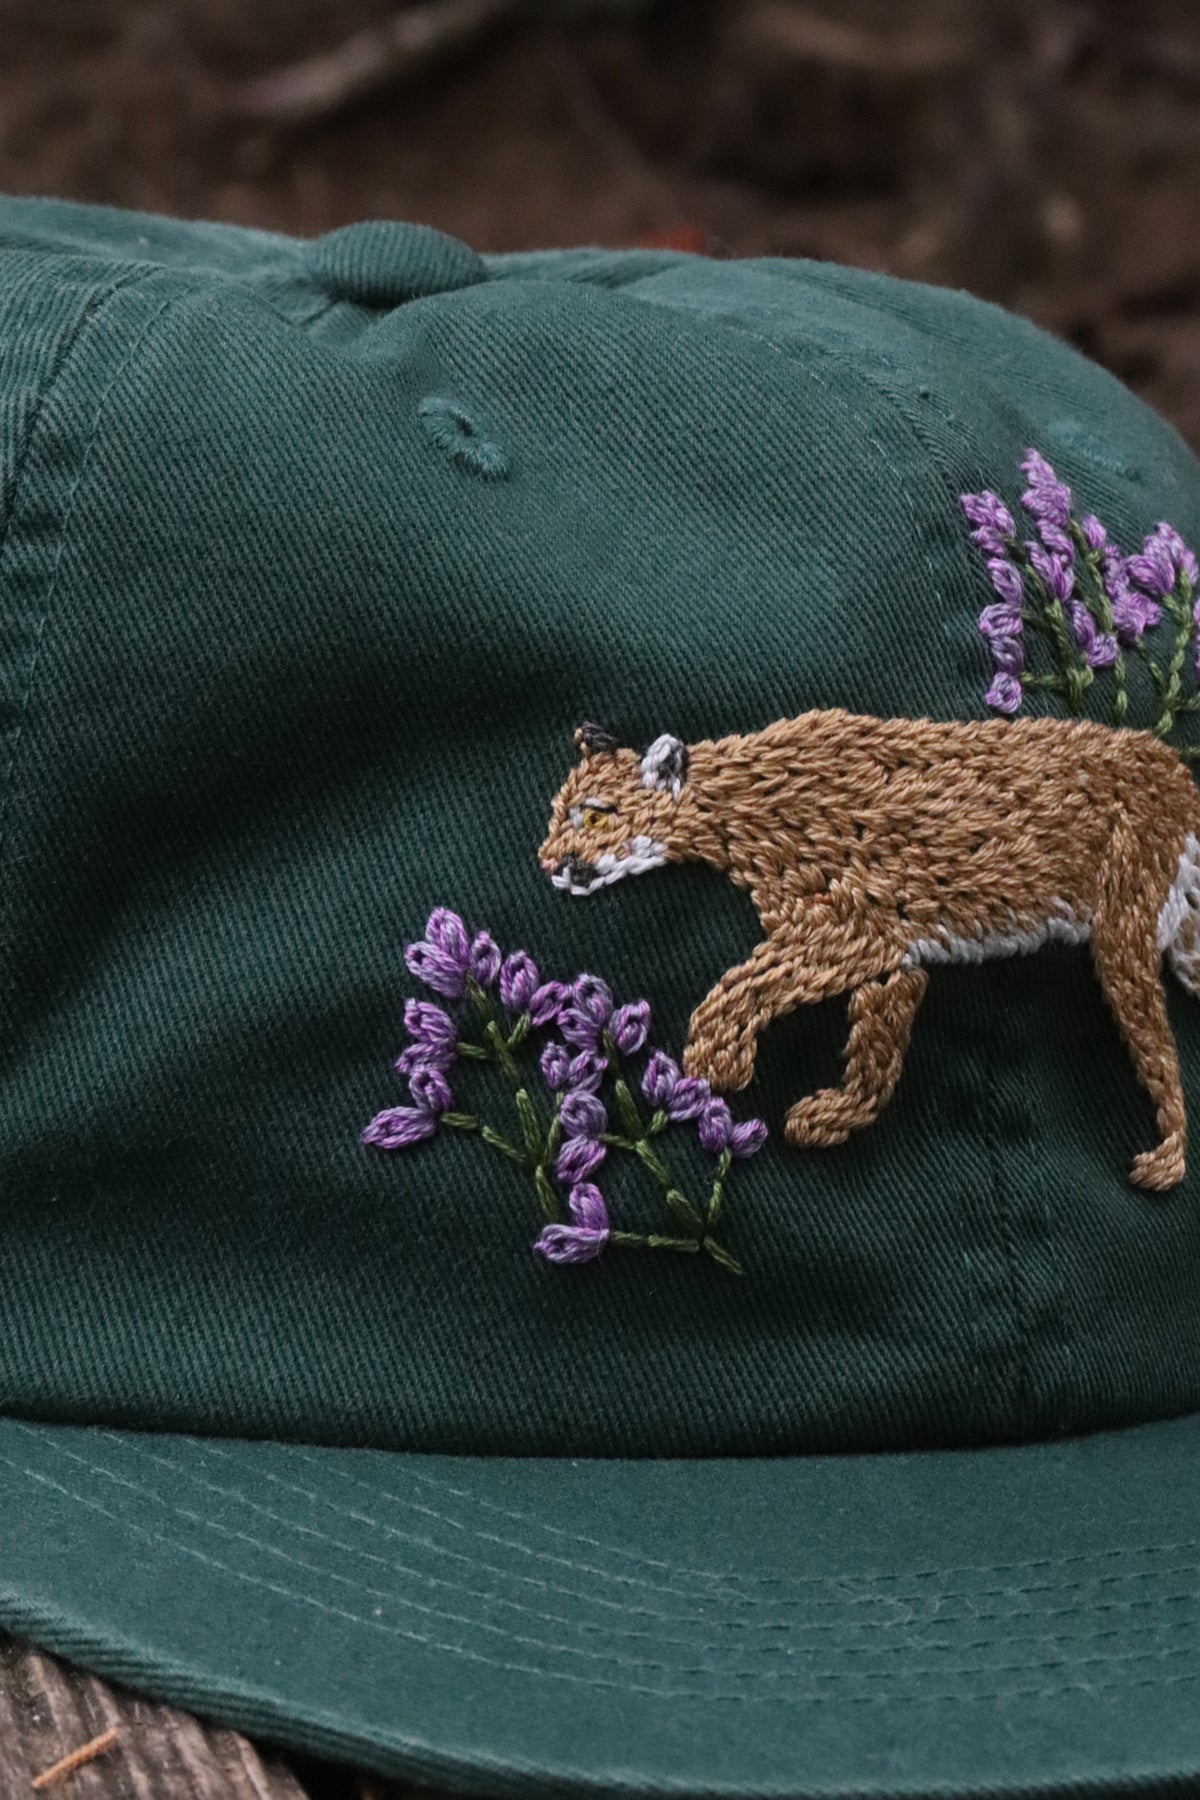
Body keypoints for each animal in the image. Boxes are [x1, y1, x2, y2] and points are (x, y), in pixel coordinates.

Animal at [539, 711, 1200, 1189]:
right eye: (557, 812)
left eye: (594, 818)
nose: (547, 864)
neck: (740, 807)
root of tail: (1170, 760)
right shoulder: (893, 955)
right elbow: (875, 1052)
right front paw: (839, 1113)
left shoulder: (857, 931)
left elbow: (742, 984)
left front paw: (717, 1061)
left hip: (1121, 933)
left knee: (1161, 1051)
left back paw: (1167, 1159)